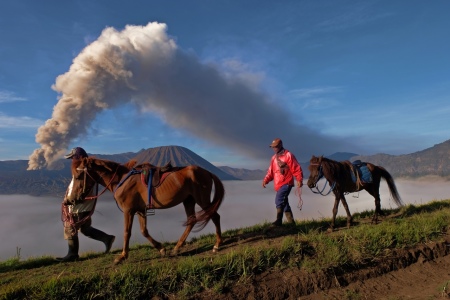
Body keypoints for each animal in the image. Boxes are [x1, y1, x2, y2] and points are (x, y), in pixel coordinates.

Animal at [65, 157, 225, 264]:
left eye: (78, 177)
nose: (70, 200)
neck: (121, 180)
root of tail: (208, 172)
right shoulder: (140, 210)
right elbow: (144, 231)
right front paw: (161, 249)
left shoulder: (128, 210)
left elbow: (127, 232)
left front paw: (122, 256)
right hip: (189, 200)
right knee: (191, 221)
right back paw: (177, 247)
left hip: (201, 200)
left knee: (215, 216)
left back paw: (217, 245)